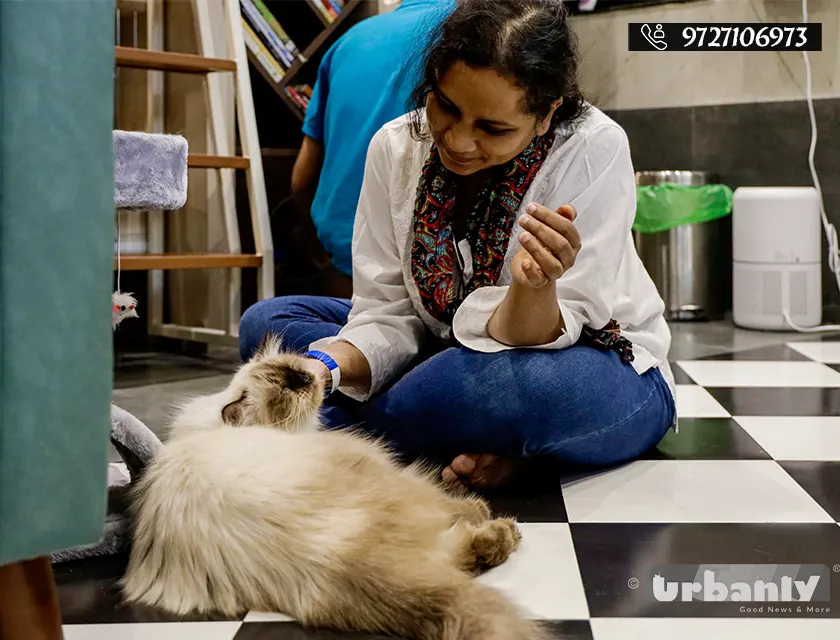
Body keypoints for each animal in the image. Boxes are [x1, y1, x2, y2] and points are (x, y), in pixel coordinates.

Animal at [123, 338, 544, 636]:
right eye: (287, 391)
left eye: (297, 374)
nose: (310, 380)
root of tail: (329, 558)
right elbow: (444, 496)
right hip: (377, 473)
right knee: (456, 524)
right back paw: (501, 525)